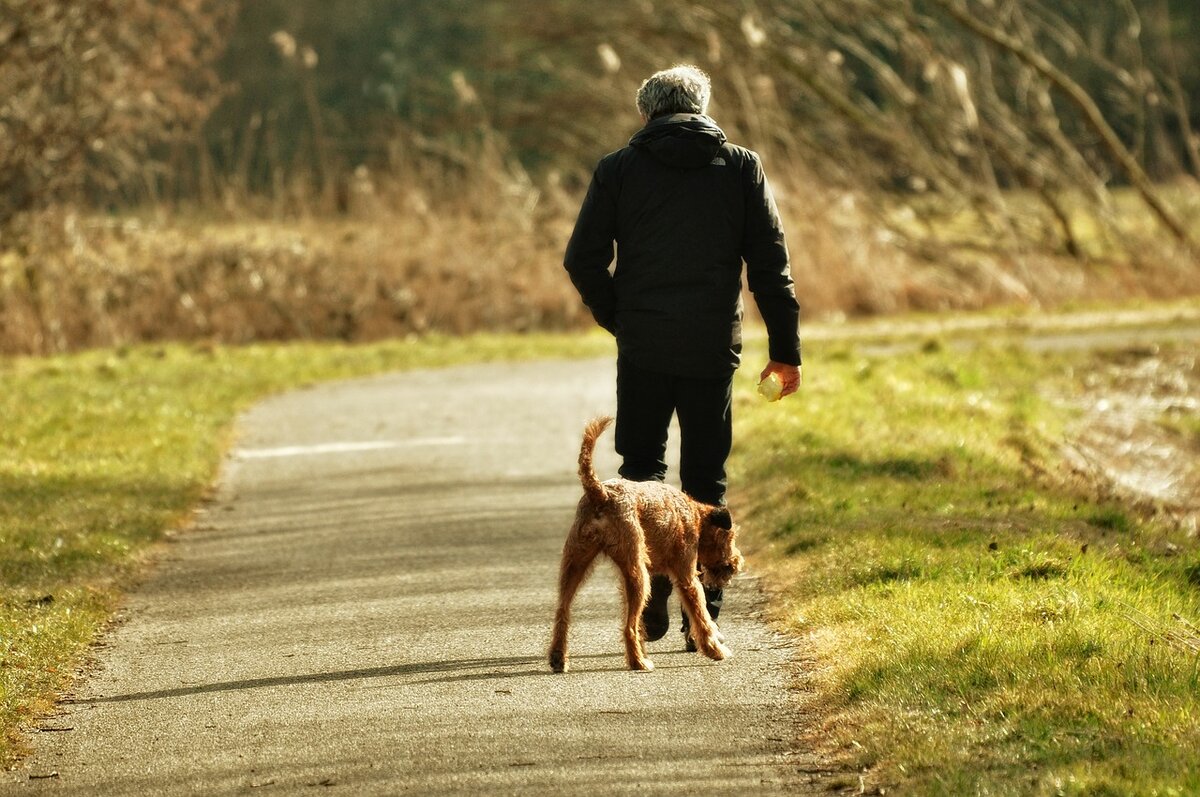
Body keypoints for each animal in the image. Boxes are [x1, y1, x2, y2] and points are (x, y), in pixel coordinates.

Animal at [549, 417, 739, 672]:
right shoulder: (687, 577)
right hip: (637, 575)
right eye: (731, 538)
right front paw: (715, 650)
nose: (737, 563)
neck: (694, 515)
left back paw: (559, 658)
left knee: (563, 612)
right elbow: (701, 616)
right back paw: (639, 661)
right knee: (628, 626)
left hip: (576, 564)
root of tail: (601, 493)